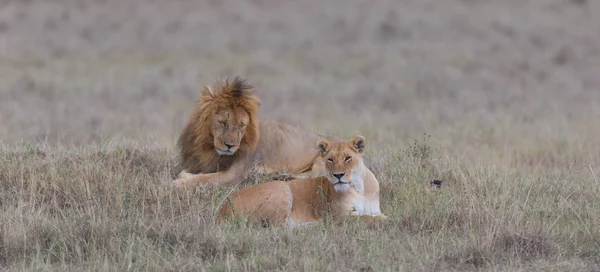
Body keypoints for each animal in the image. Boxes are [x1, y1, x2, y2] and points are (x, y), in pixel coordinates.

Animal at [171, 76, 336, 187]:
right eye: (223, 123)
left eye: (241, 125)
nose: (230, 146)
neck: (209, 146)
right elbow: (188, 173)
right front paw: (183, 177)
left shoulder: (234, 175)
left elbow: (203, 178)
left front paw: (177, 184)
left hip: (323, 157)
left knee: (317, 176)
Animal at [218, 136, 386, 227]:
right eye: (330, 159)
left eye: (347, 158)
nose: (338, 175)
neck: (358, 187)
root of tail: (222, 209)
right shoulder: (339, 218)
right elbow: (366, 218)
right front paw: (385, 220)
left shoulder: (374, 209)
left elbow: (374, 215)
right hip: (281, 190)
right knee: (276, 228)